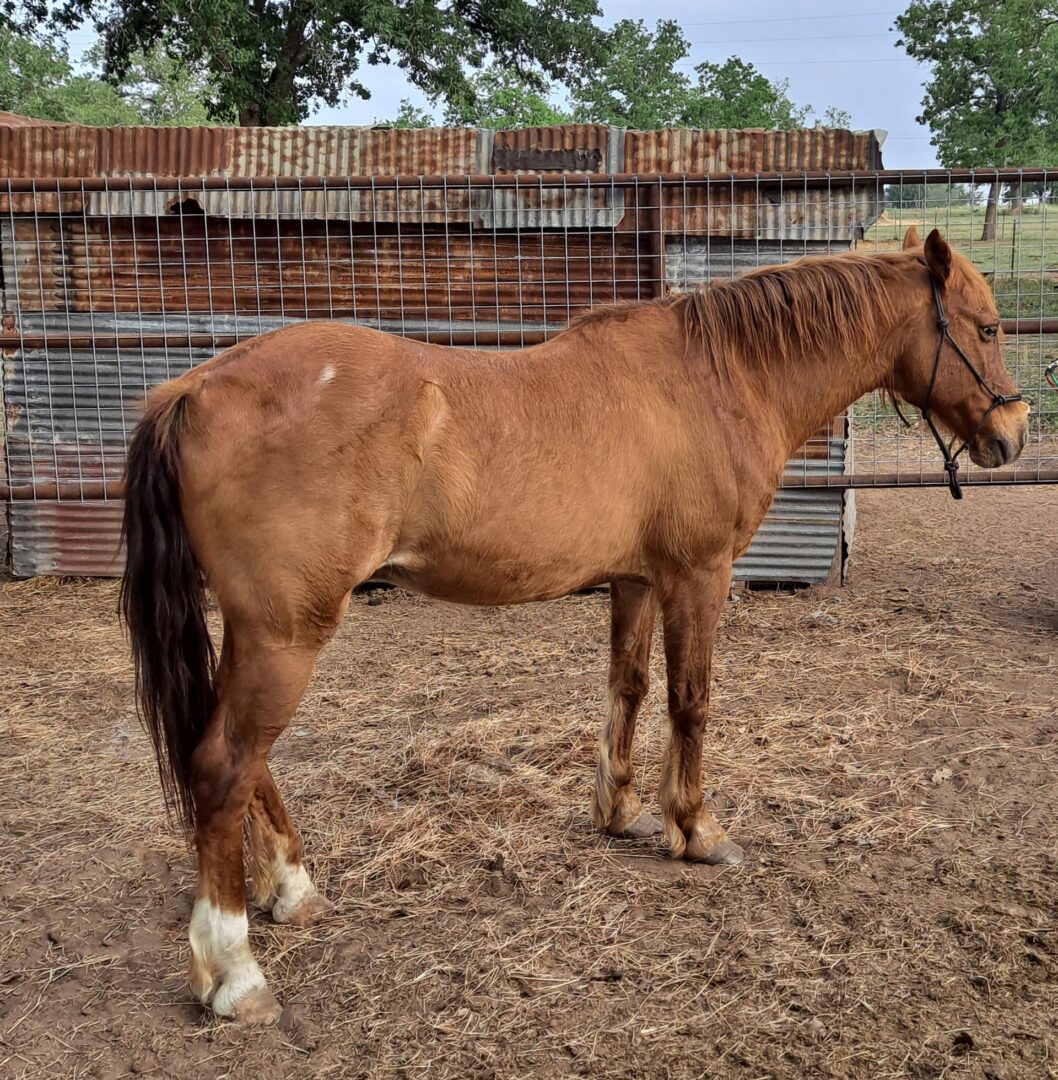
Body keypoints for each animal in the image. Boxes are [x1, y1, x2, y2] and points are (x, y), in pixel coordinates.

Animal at [121, 227, 1023, 1019]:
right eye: (986, 326)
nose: (1013, 434)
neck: (717, 379)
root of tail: (192, 389)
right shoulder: (699, 576)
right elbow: (690, 701)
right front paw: (696, 830)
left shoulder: (635, 579)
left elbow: (628, 686)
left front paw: (620, 811)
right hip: (286, 634)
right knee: (224, 768)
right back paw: (236, 974)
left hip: (261, 631)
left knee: (239, 760)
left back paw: (293, 891)